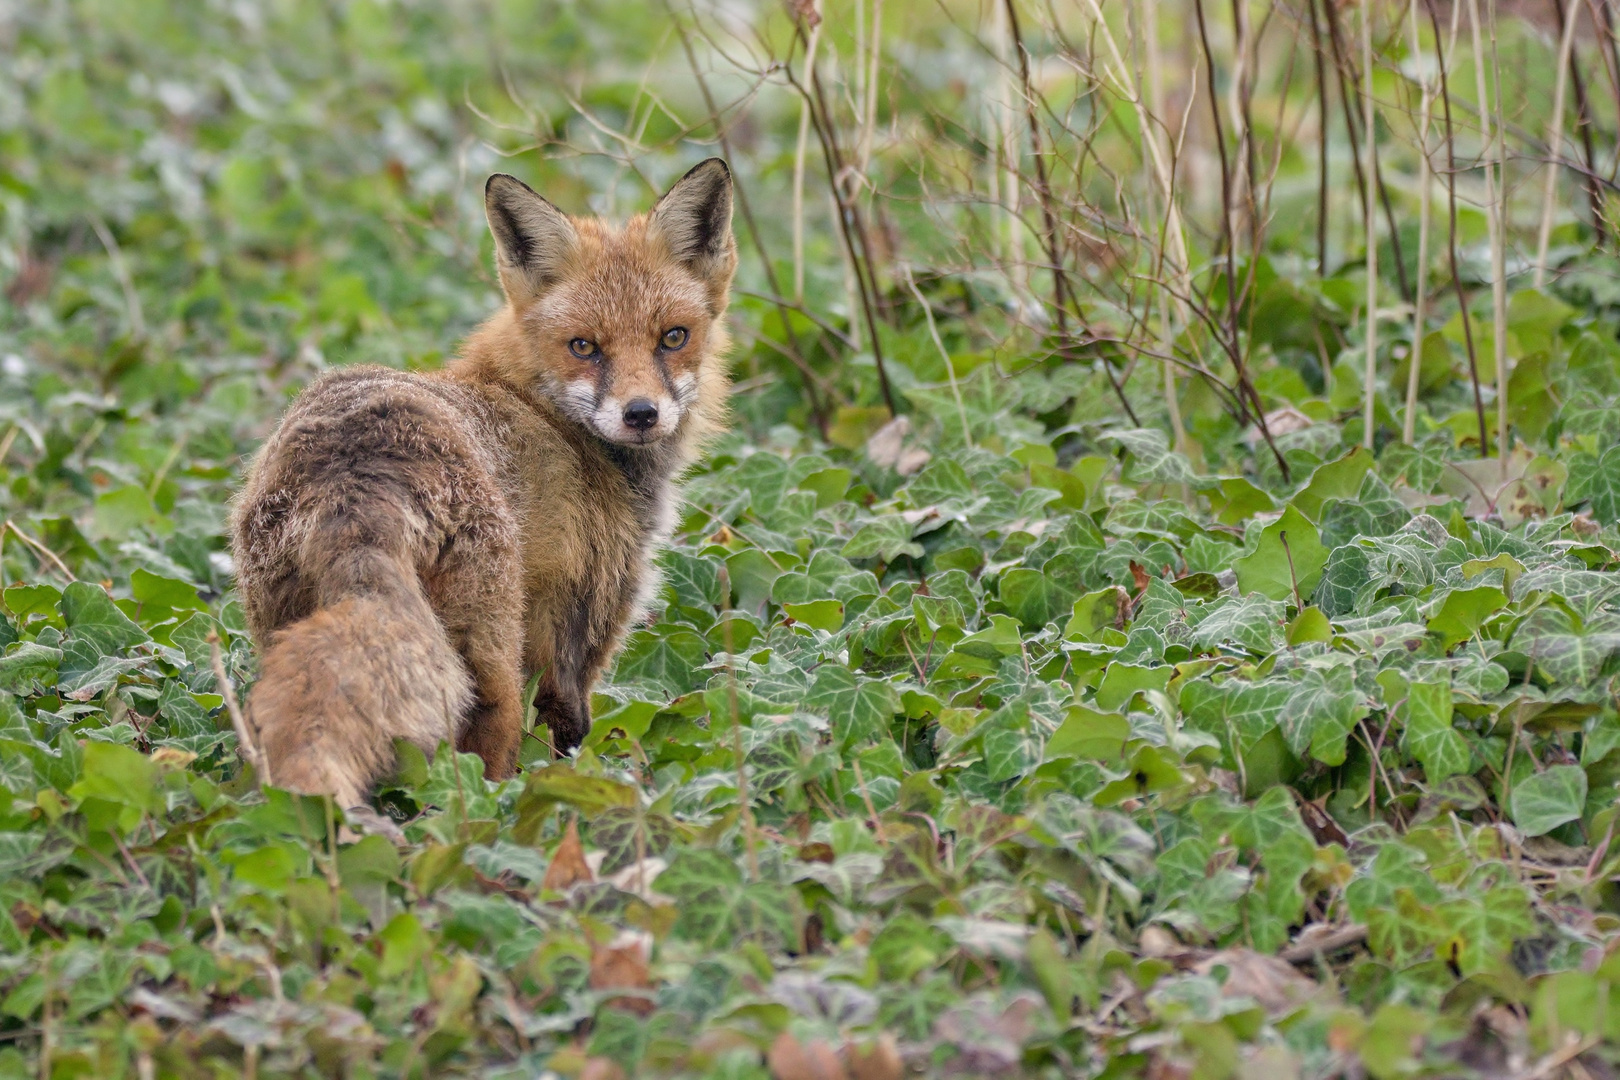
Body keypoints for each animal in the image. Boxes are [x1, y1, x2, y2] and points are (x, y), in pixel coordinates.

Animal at [228, 158, 735, 803]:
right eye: (583, 347)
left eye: (673, 337)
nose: (641, 414)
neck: (541, 408)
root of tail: (355, 474)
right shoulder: (579, 619)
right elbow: (568, 729)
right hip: (490, 649)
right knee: (486, 742)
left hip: (280, 627)